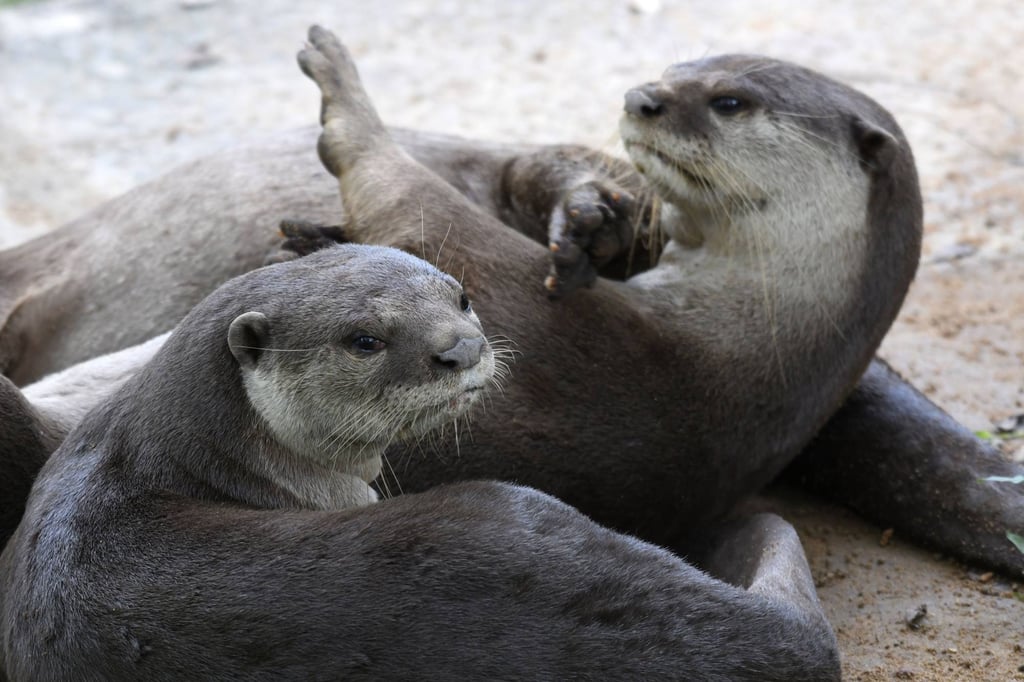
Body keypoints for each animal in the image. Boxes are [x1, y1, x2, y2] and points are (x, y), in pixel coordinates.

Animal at [0, 27, 1020, 576]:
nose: (643, 95)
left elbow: (407, 201)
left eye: (728, 100)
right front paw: (590, 213)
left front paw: (347, 100)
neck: (748, 349)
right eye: (681, 63)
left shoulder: (555, 326)